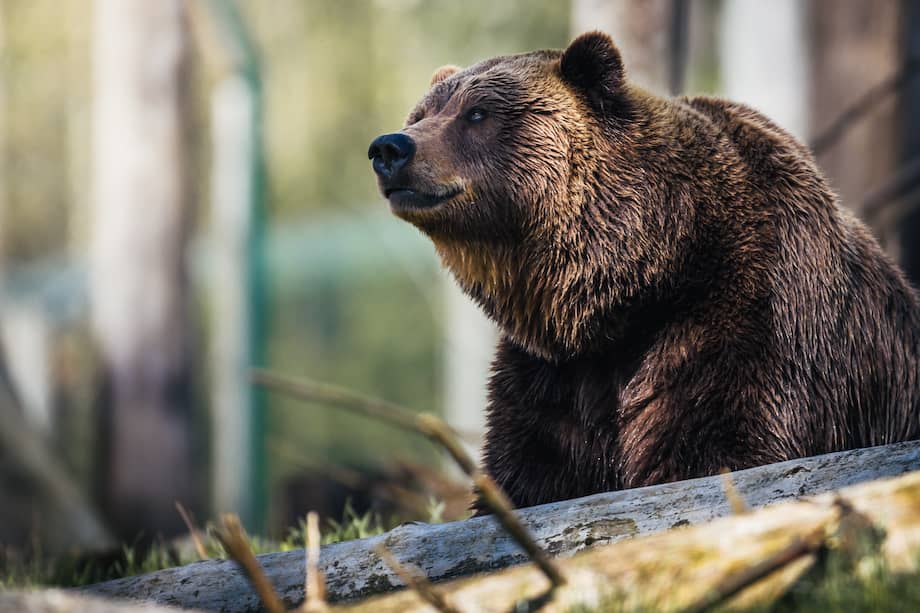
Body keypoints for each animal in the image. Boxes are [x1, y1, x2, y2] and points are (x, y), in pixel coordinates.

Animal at [368, 31, 920, 509]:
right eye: (421, 113)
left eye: (477, 112)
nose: (390, 147)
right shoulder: (552, 375)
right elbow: (528, 471)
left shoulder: (748, 318)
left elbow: (716, 447)